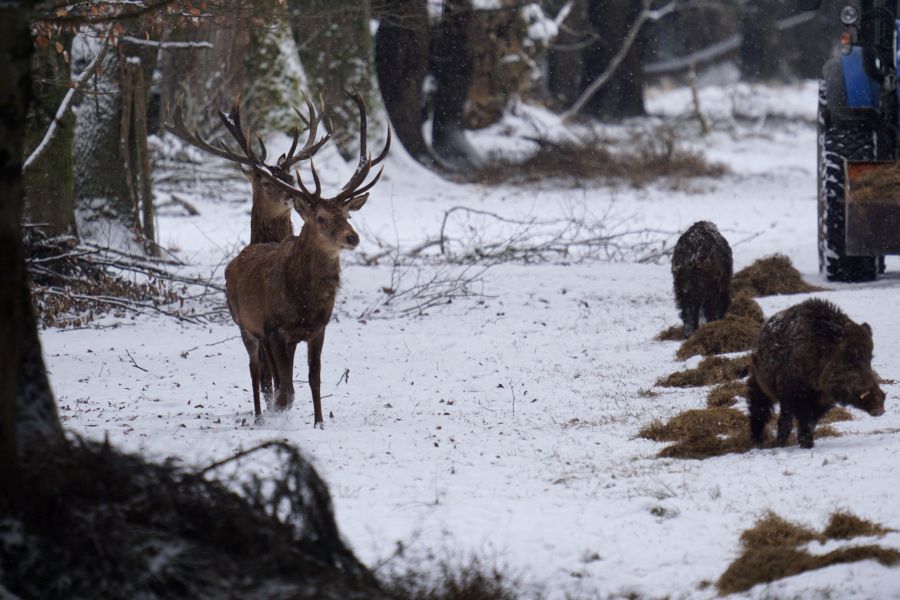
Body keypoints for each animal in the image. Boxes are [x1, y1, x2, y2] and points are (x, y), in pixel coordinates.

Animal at [224, 91, 390, 427]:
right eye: (322, 218)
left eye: (347, 215)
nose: (353, 238)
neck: (305, 301)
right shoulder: (274, 329)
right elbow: (285, 389)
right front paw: (279, 417)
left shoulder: (318, 329)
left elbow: (314, 379)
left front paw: (319, 423)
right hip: (244, 325)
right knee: (255, 371)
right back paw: (259, 416)